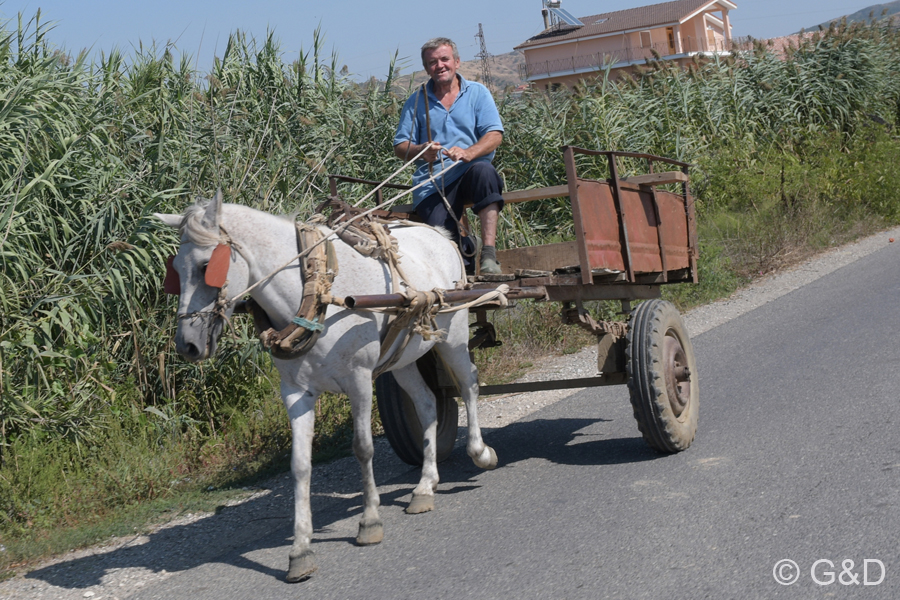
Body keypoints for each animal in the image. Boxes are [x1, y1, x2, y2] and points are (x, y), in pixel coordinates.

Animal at [153, 195, 492, 584]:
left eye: (208, 265)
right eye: (175, 271)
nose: (187, 345)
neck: (316, 292)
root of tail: (438, 234)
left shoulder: (359, 379)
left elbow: (363, 448)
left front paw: (369, 521)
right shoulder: (296, 392)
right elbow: (300, 466)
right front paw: (300, 549)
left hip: (453, 334)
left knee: (468, 383)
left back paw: (480, 452)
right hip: (401, 358)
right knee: (426, 404)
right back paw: (424, 486)